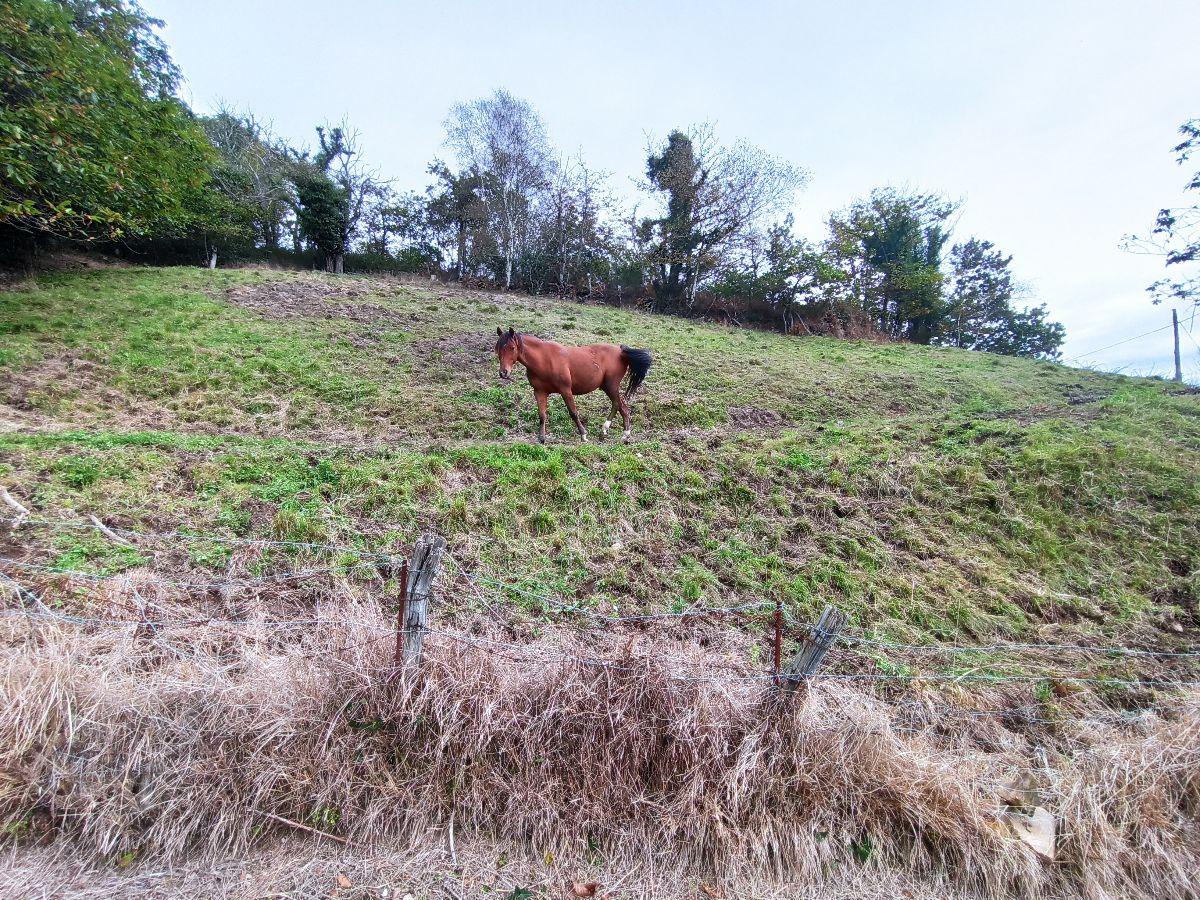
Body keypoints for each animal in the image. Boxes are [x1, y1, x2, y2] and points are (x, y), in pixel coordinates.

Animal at [492, 328, 652, 446]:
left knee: (620, 405)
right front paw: (542, 439)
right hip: (606, 386)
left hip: (611, 385)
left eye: (512, 347)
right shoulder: (539, 392)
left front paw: (583, 435)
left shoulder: (565, 390)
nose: (503, 372)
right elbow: (542, 415)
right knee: (619, 404)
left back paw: (619, 433)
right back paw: (611, 433)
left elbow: (573, 413)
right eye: (497, 349)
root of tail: (621, 351)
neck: (544, 360)